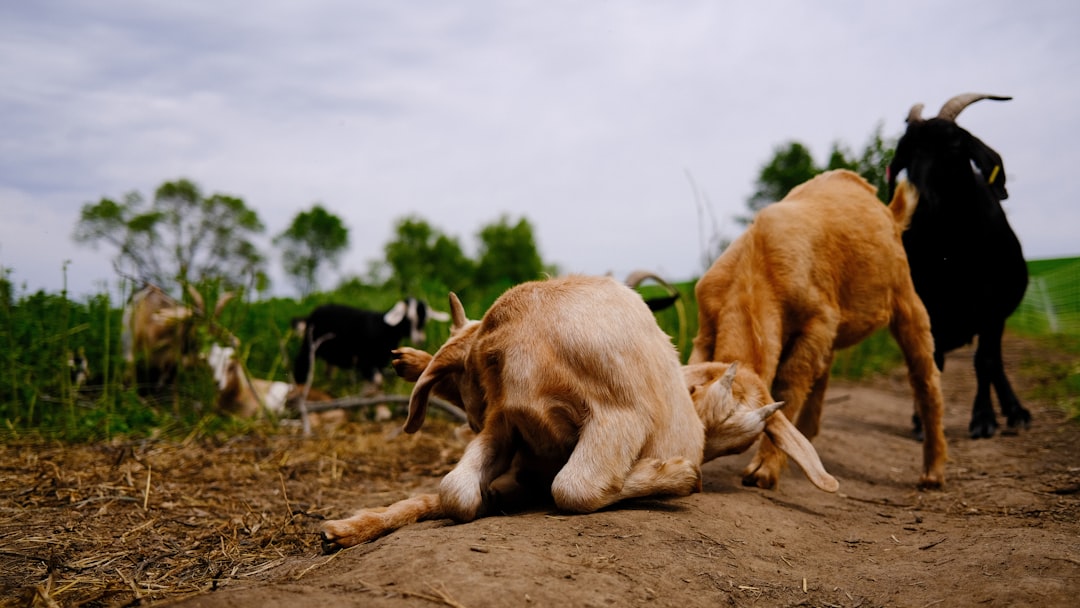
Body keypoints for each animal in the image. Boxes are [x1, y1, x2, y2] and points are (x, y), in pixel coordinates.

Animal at [291, 299, 449, 389]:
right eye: (409, 318)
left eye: (425, 320)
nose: (420, 339)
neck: (384, 327)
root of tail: (310, 315)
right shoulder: (365, 361)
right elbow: (377, 381)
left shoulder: (378, 362)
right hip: (309, 344)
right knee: (301, 363)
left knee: (328, 371)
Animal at [690, 169, 948, 490]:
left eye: (736, 448)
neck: (755, 270)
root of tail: (889, 210)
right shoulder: (706, 324)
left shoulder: (818, 321)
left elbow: (790, 381)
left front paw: (764, 469)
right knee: (824, 369)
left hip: (904, 295)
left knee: (924, 376)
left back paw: (933, 473)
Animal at [888, 93, 1030, 439]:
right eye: (907, 154)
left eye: (954, 147)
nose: (917, 204)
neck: (950, 253)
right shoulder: (927, 303)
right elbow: (931, 361)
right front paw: (924, 420)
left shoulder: (992, 305)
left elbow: (985, 361)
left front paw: (983, 419)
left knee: (994, 360)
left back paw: (1015, 412)